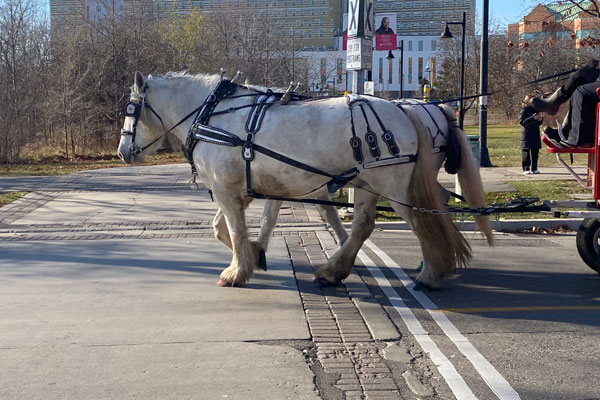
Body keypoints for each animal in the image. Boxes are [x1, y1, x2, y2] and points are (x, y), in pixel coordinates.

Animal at [118, 72, 492, 290]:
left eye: (130, 109)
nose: (122, 152)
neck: (212, 116)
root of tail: (407, 109)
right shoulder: (248, 188)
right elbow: (225, 227)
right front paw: (255, 254)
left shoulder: (226, 189)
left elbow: (234, 230)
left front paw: (237, 271)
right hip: (368, 185)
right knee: (364, 225)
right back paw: (334, 270)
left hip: (396, 187)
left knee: (425, 221)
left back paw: (430, 274)